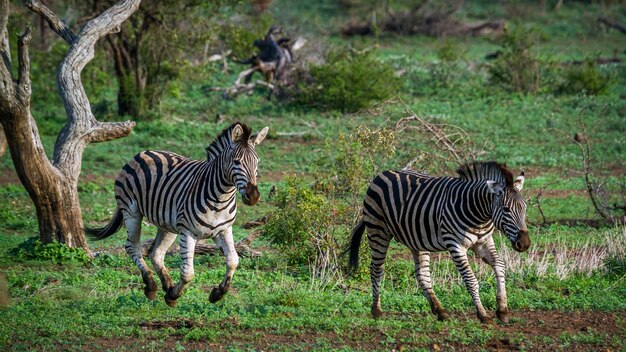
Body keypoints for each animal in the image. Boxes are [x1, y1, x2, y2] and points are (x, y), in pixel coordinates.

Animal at [86, 122, 266, 306]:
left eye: (257, 162)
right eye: (237, 162)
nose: (253, 196)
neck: (221, 199)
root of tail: (143, 153)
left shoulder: (223, 230)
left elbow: (233, 261)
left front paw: (217, 293)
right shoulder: (188, 232)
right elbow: (188, 273)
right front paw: (174, 296)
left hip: (167, 223)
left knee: (156, 253)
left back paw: (167, 285)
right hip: (131, 211)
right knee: (133, 247)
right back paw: (151, 286)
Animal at [346, 161, 528, 324]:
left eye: (525, 207)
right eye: (506, 209)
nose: (525, 243)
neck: (479, 214)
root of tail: (383, 173)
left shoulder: (483, 242)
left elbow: (500, 266)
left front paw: (502, 310)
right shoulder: (455, 245)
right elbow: (471, 279)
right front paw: (482, 314)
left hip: (416, 238)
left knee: (422, 274)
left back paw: (440, 311)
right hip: (378, 230)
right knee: (376, 268)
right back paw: (376, 310)